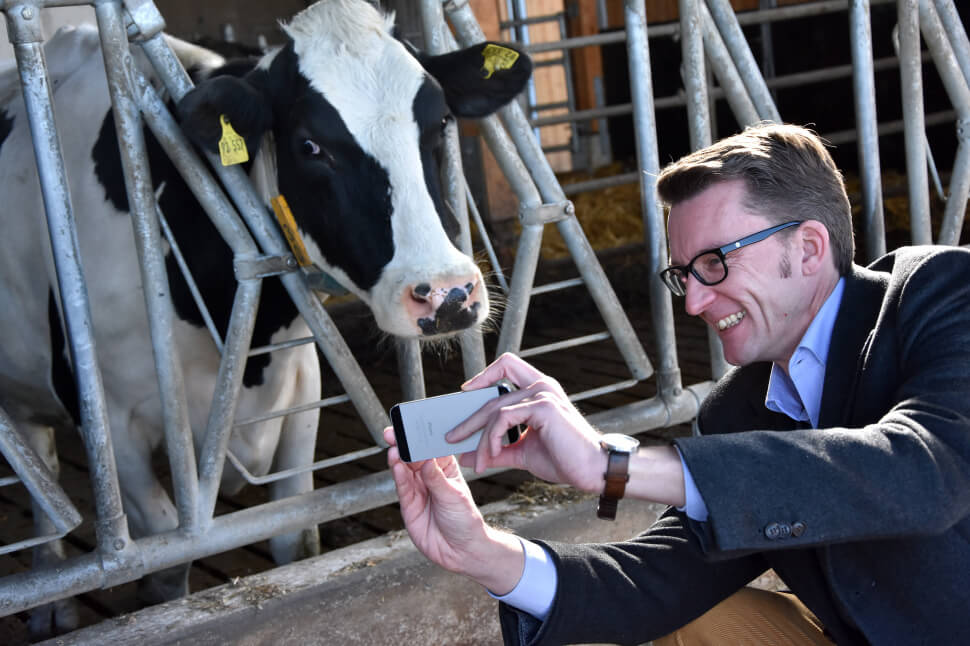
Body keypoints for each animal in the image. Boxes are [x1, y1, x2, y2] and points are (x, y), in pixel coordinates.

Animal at [0, 0, 528, 636]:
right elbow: (167, 568)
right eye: (310, 146)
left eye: (442, 120)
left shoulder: (299, 387)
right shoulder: (110, 426)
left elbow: (295, 539)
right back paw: (49, 601)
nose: (449, 294)